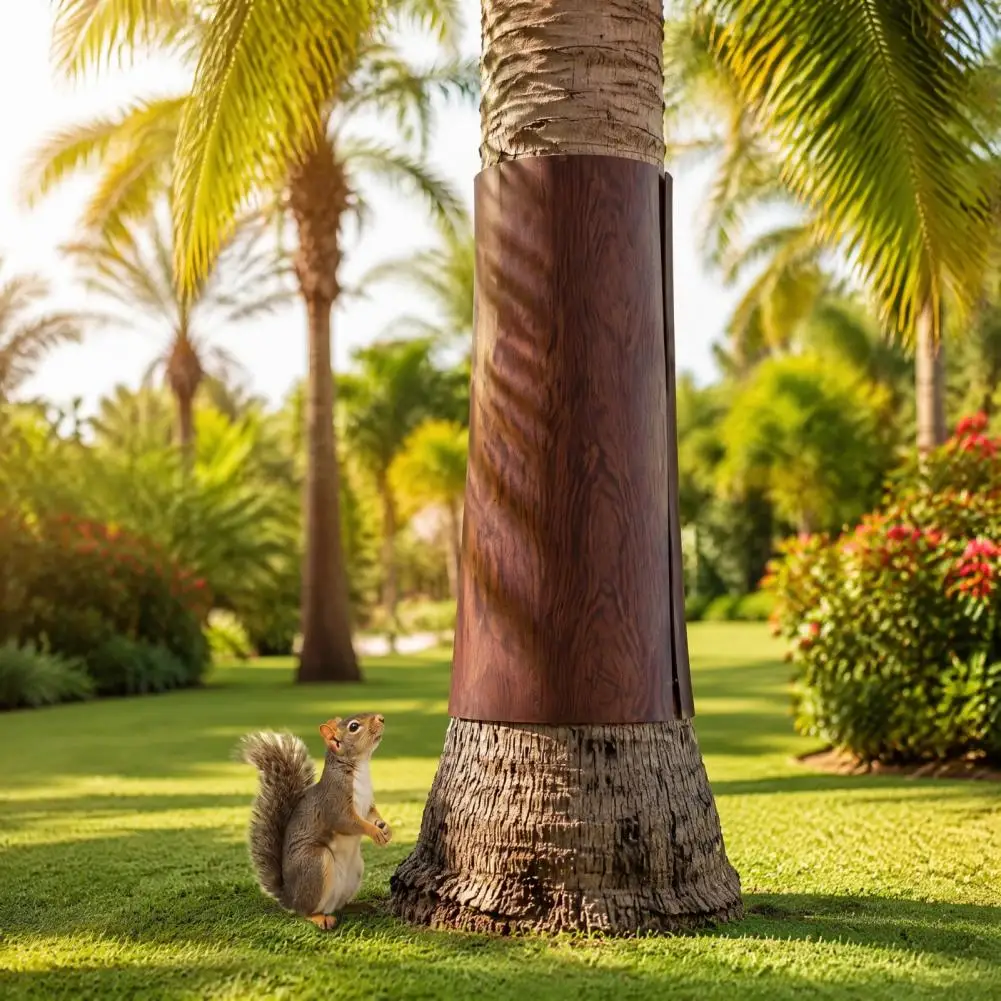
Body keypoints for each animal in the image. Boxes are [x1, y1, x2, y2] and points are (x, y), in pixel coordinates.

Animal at [238, 712, 392, 930]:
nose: (381, 718)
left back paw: (357, 906)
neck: (359, 769)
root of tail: (290, 897)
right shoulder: (335, 804)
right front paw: (375, 831)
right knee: (306, 910)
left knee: (339, 906)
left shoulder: (368, 803)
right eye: (354, 727)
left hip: (355, 871)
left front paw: (385, 828)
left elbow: (373, 814)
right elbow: (350, 823)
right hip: (316, 864)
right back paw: (319, 917)